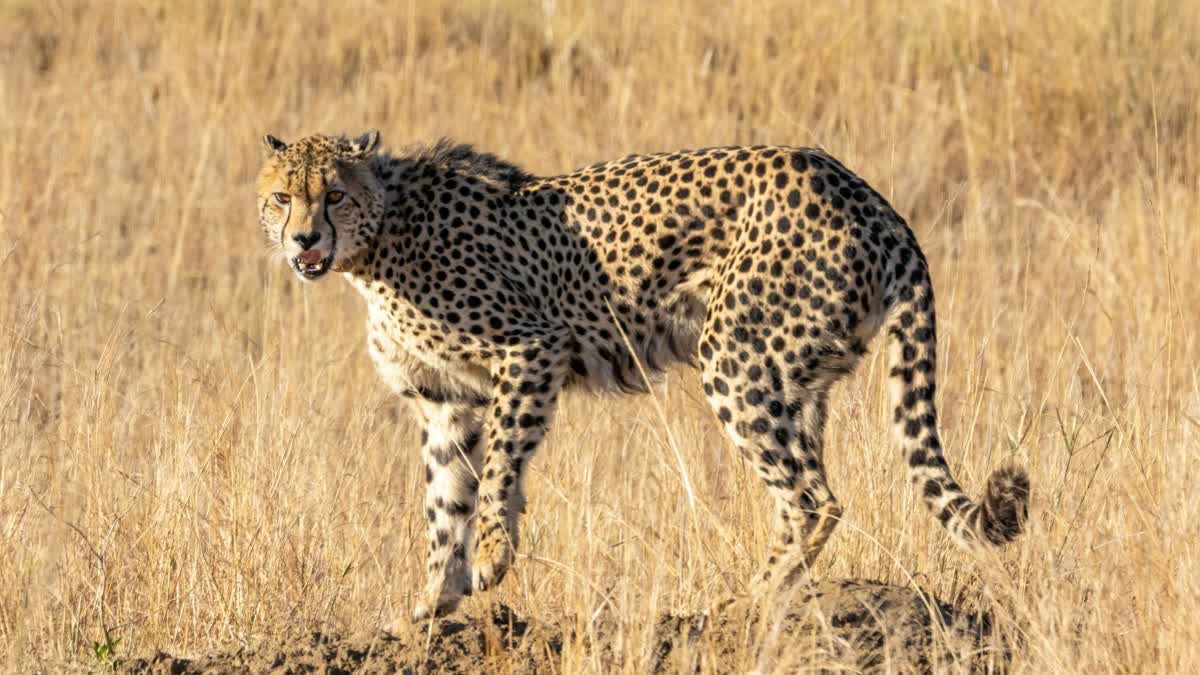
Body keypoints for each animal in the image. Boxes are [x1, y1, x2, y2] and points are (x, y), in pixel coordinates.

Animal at [258, 130, 1027, 619]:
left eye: (333, 195)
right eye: (281, 198)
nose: (304, 239)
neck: (378, 241)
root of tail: (865, 193)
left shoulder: (531, 349)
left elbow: (500, 467)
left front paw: (493, 555)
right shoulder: (447, 400)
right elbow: (443, 502)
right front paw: (430, 603)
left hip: (735, 356)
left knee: (815, 498)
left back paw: (748, 600)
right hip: (797, 376)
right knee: (804, 493)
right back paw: (771, 593)